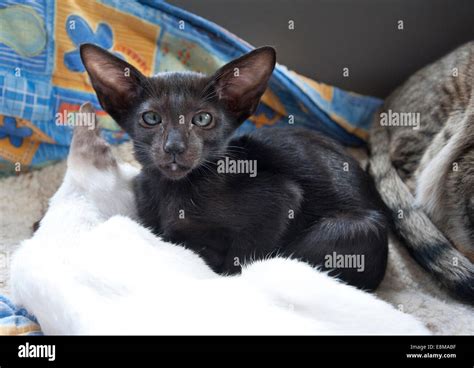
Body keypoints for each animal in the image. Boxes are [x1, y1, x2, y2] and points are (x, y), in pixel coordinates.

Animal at [79, 43, 386, 290]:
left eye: (203, 119)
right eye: (151, 118)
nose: (174, 147)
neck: (173, 192)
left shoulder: (281, 199)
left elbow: (240, 260)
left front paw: (224, 277)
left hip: (346, 228)